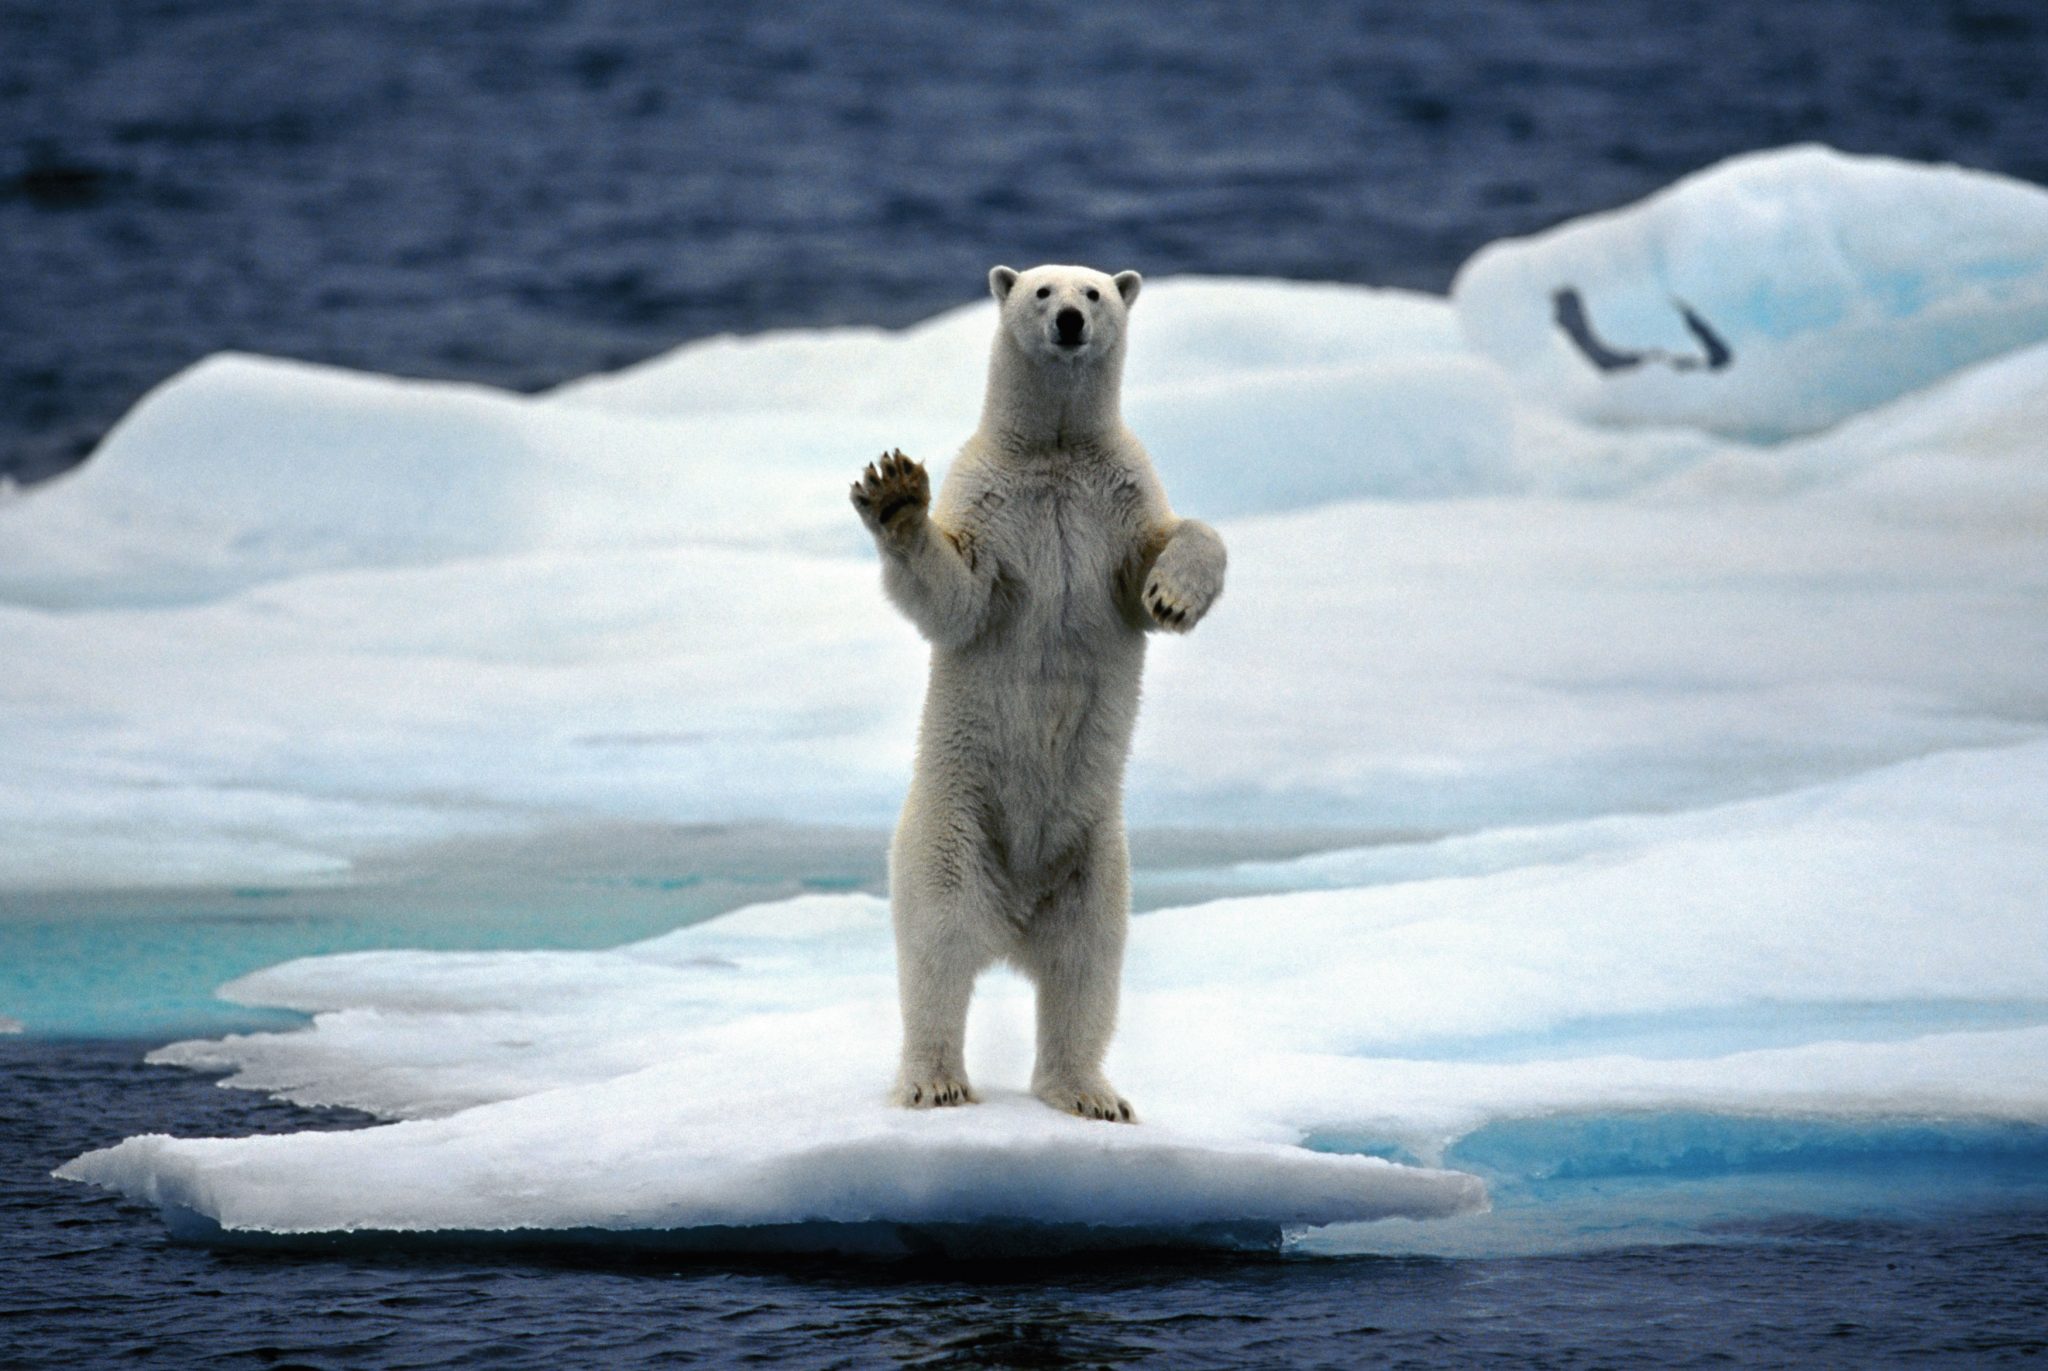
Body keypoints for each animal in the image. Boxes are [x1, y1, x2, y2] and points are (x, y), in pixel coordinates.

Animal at [843, 262, 1212, 1114]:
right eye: (1042, 291)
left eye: (1097, 292)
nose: (1071, 320)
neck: (1055, 452)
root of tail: (1013, 919)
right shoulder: (994, 504)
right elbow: (957, 594)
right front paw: (895, 494)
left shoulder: (1119, 501)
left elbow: (1176, 543)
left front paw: (1175, 596)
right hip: (952, 826)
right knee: (941, 947)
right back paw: (937, 1079)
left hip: (1095, 856)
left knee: (1087, 964)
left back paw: (1088, 1092)